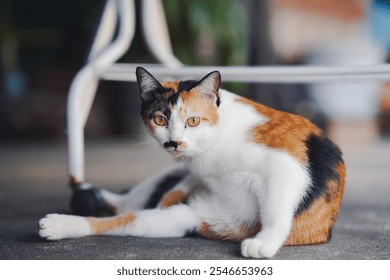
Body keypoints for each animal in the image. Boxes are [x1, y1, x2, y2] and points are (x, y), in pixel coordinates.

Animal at [38, 66, 344, 260]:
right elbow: (126, 220)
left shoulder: (286, 164)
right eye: (159, 119)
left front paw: (263, 243)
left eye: (193, 120)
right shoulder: (195, 210)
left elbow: (277, 208)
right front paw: (62, 225)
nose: (174, 142)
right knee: (127, 203)